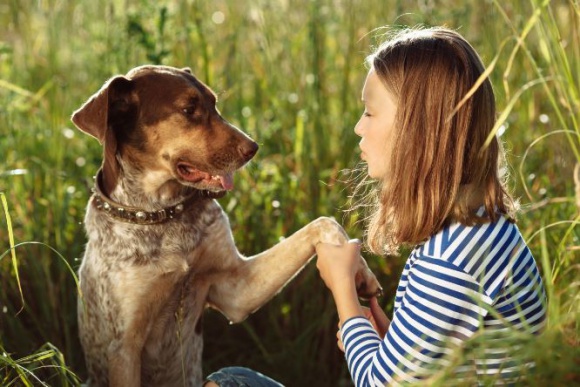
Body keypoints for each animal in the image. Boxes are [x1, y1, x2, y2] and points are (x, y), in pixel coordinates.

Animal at [71, 65, 380, 386]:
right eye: (189, 109)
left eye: (214, 103)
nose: (253, 148)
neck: (162, 213)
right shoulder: (123, 350)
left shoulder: (237, 289)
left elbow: (323, 223)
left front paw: (360, 272)